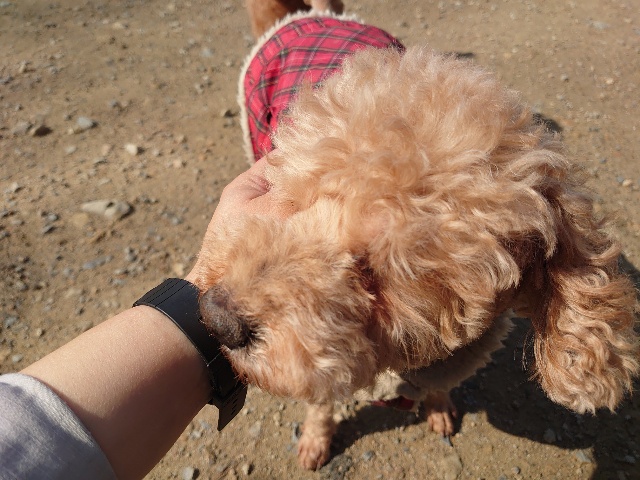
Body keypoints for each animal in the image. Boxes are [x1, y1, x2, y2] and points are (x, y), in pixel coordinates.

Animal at [195, 0, 639, 470]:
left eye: (379, 267)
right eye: (291, 201)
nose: (216, 318)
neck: (401, 356)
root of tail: (312, 14)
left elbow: (438, 388)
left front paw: (439, 408)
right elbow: (319, 402)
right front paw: (316, 439)